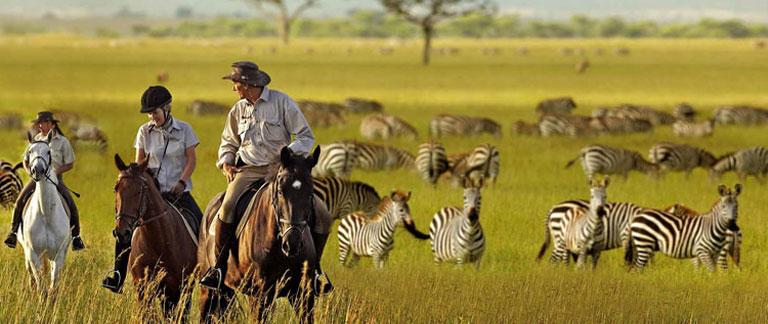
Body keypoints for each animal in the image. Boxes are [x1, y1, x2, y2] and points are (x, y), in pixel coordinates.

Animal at [17, 132, 70, 294]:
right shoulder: (33, 254)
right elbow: (41, 287)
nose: (38, 170)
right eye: (30, 151)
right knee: (32, 278)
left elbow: (53, 289)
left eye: (48, 152)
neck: (46, 214)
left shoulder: (58, 256)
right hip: (30, 254)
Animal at [114, 155, 200, 322]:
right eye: (116, 189)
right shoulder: (143, 288)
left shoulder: (179, 287)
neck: (160, 242)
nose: (122, 233)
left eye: (140, 191)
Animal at [198, 147, 320, 324]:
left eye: (310, 193)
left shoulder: (303, 294)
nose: (292, 243)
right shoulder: (259, 296)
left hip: (227, 291)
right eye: (280, 191)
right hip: (208, 291)